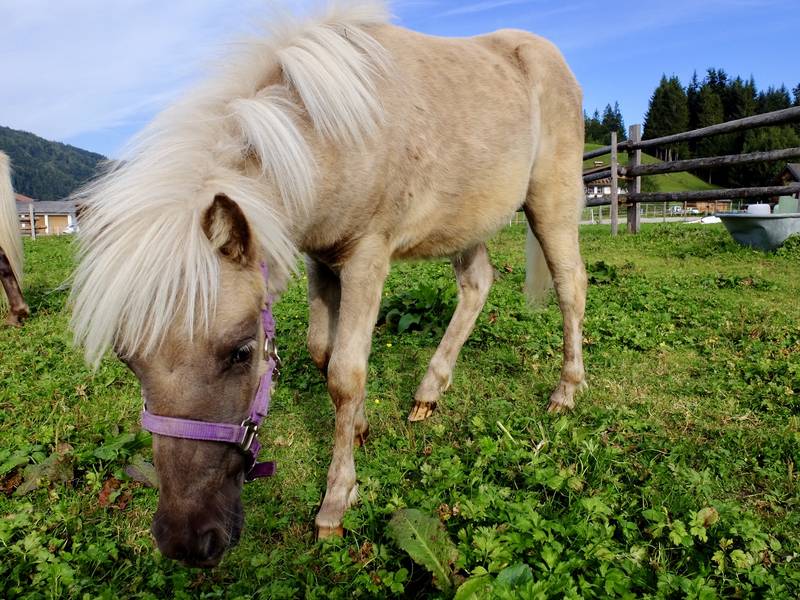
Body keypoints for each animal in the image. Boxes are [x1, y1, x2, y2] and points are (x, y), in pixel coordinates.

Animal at [70, 1, 588, 568]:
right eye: (127, 359)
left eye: (242, 351)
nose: (186, 541)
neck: (333, 136)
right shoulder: (322, 258)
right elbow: (323, 351)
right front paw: (359, 429)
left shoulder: (366, 258)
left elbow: (345, 372)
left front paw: (337, 501)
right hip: (466, 221)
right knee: (476, 286)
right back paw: (429, 391)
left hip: (551, 200)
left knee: (570, 286)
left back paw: (565, 392)